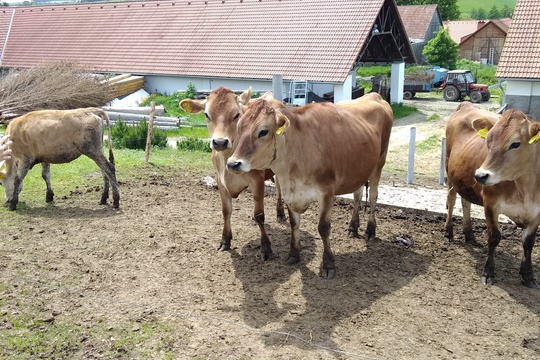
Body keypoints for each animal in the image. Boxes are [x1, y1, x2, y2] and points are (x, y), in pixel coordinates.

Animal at [178, 88, 286, 260]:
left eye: (236, 115)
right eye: (206, 114)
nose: (220, 142)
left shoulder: (257, 179)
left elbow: (260, 214)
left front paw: (266, 247)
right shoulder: (219, 179)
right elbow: (226, 211)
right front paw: (225, 240)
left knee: (280, 189)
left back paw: (281, 213)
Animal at [225, 92, 392, 278]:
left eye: (263, 131)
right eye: (239, 128)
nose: (233, 163)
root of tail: (374, 95)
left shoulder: (327, 192)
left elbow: (324, 227)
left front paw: (328, 265)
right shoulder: (290, 192)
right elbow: (294, 224)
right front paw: (294, 254)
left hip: (379, 162)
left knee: (374, 197)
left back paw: (370, 230)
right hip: (360, 168)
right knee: (358, 195)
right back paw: (353, 228)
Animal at [446, 102, 536, 288]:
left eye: (515, 144)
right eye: (488, 141)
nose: (480, 175)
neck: (526, 190)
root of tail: (466, 104)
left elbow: (529, 241)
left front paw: (528, 275)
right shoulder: (491, 203)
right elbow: (494, 237)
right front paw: (488, 272)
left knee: (465, 202)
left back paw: (469, 234)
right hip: (450, 173)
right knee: (451, 200)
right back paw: (448, 232)